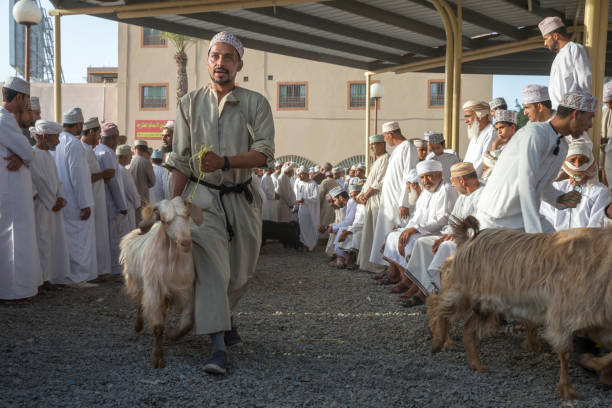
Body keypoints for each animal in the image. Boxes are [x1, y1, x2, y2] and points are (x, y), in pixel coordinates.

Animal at [118, 196, 204, 368]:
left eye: (187, 215)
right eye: (164, 220)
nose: (185, 243)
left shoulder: (185, 291)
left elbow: (187, 323)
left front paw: (172, 334)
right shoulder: (154, 290)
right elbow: (157, 326)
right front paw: (157, 358)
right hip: (140, 282)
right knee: (141, 302)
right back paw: (138, 325)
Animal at [428, 217, 612, 398]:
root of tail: (467, 240)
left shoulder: (598, 324)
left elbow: (609, 355)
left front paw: (592, 363)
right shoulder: (562, 316)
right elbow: (564, 353)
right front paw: (566, 389)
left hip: (485, 304)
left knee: (467, 328)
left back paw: (476, 364)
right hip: (461, 291)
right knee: (437, 305)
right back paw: (439, 342)